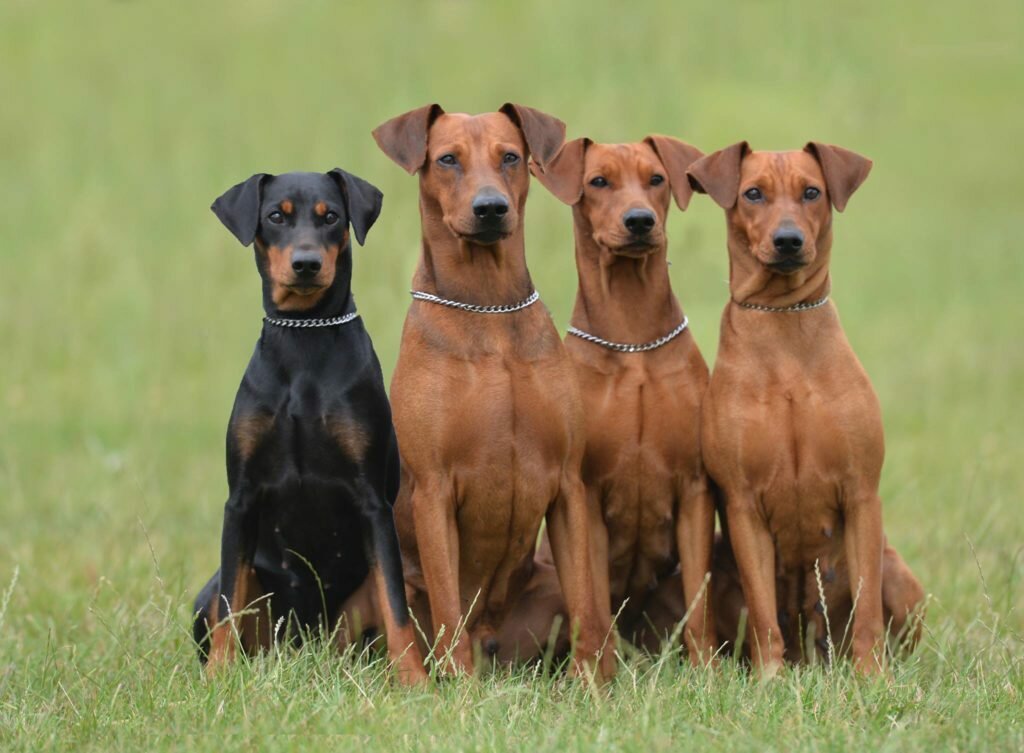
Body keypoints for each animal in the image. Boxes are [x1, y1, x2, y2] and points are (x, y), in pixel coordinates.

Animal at [192, 168, 428, 684]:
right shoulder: (240, 499)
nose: (305, 264)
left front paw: (414, 680)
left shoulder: (373, 502)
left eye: (332, 216)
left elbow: (397, 606)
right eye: (275, 216)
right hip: (217, 594)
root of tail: (303, 642)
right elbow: (229, 607)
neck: (303, 341)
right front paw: (217, 676)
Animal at [376, 104, 614, 676]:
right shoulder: (434, 490)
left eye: (510, 157)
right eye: (447, 159)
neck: (488, 310)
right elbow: (447, 614)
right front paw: (459, 691)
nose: (490, 209)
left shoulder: (568, 485)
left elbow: (587, 613)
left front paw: (592, 688)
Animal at [532, 138, 716, 663]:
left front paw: (708, 672)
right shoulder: (587, 494)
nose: (639, 221)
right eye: (598, 181)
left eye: (656, 179)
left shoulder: (695, 489)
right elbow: (591, 602)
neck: (633, 341)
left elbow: (700, 609)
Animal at [684, 142, 925, 676]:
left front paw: (873, 678)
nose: (789, 240)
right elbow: (763, 616)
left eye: (812, 192)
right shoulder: (743, 504)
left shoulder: (861, 494)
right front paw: (769, 680)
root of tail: (812, 654)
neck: (783, 323)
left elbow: (867, 611)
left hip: (897, 573)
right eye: (753, 193)